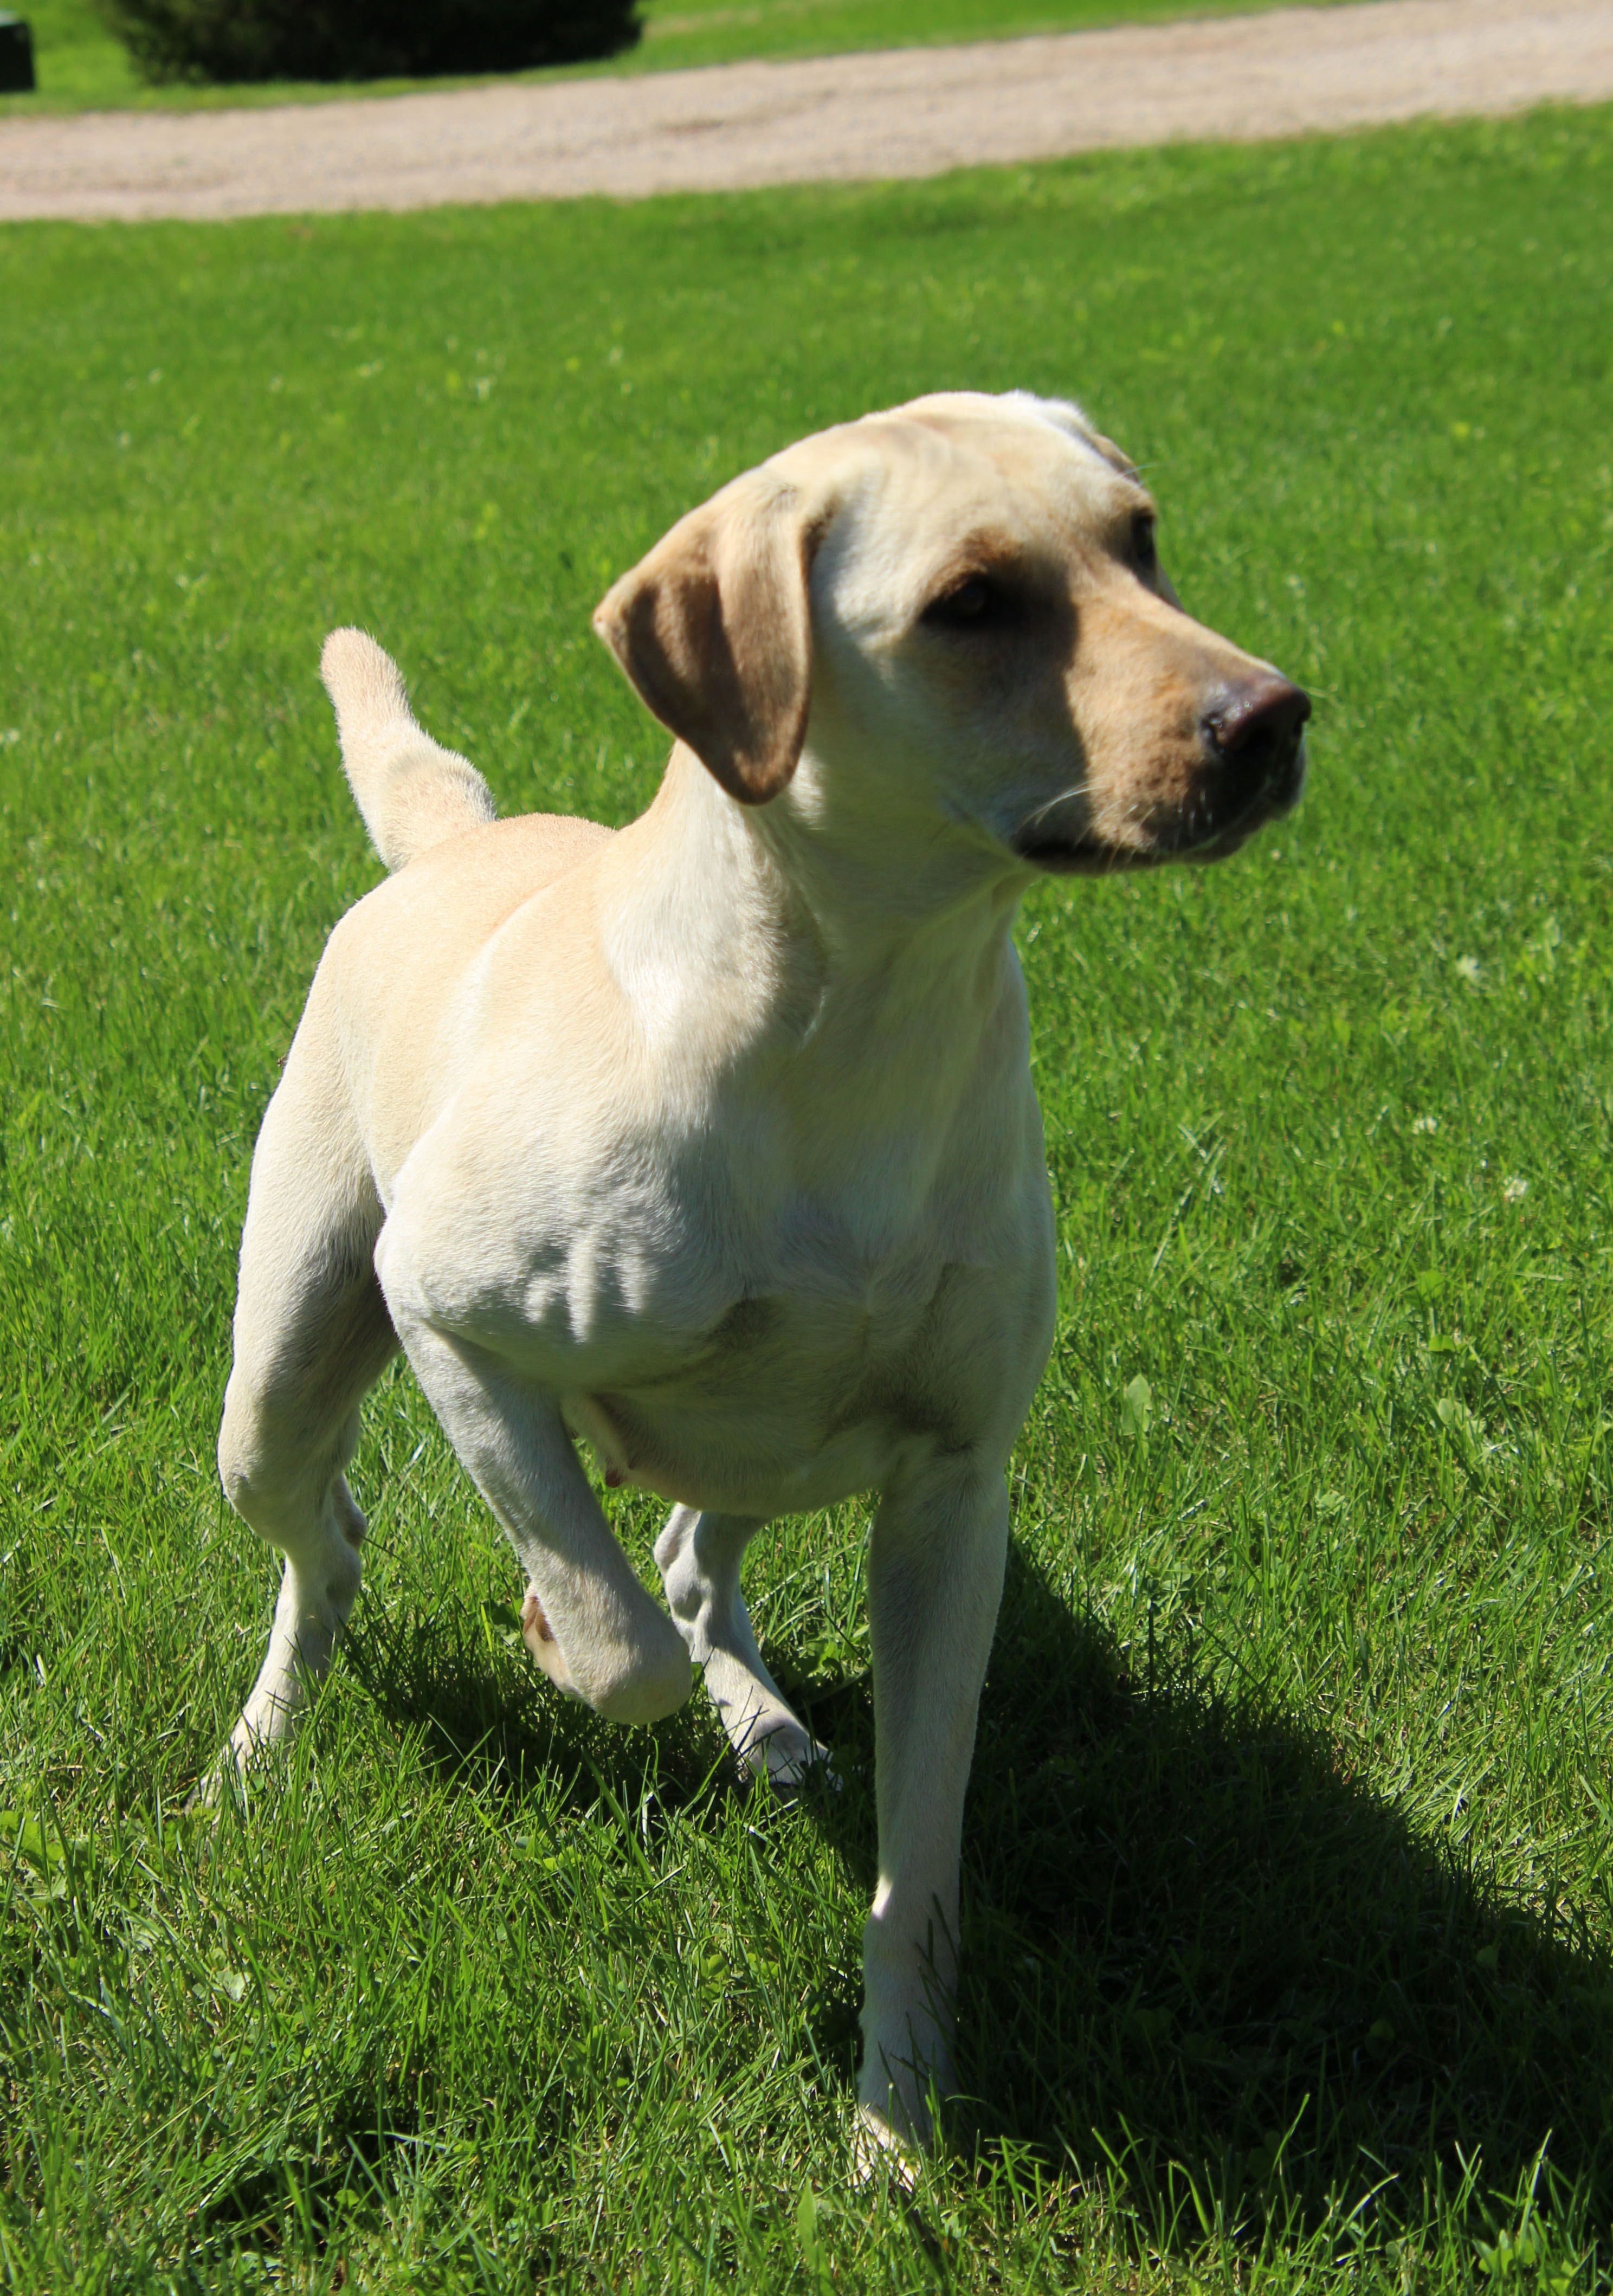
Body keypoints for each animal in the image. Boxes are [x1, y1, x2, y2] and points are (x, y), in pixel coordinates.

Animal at [211, 395, 1312, 2167]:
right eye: (972, 603)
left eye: (1139, 538)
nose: (1270, 716)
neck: (853, 1022)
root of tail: (460, 840)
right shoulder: (448, 1307)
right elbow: (609, 1641)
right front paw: (558, 1628)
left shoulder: (949, 1485)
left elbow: (918, 1863)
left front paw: (896, 2127)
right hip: (284, 1364)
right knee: (336, 1542)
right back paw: (260, 1746)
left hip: (788, 1444)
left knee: (685, 1550)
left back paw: (770, 1720)